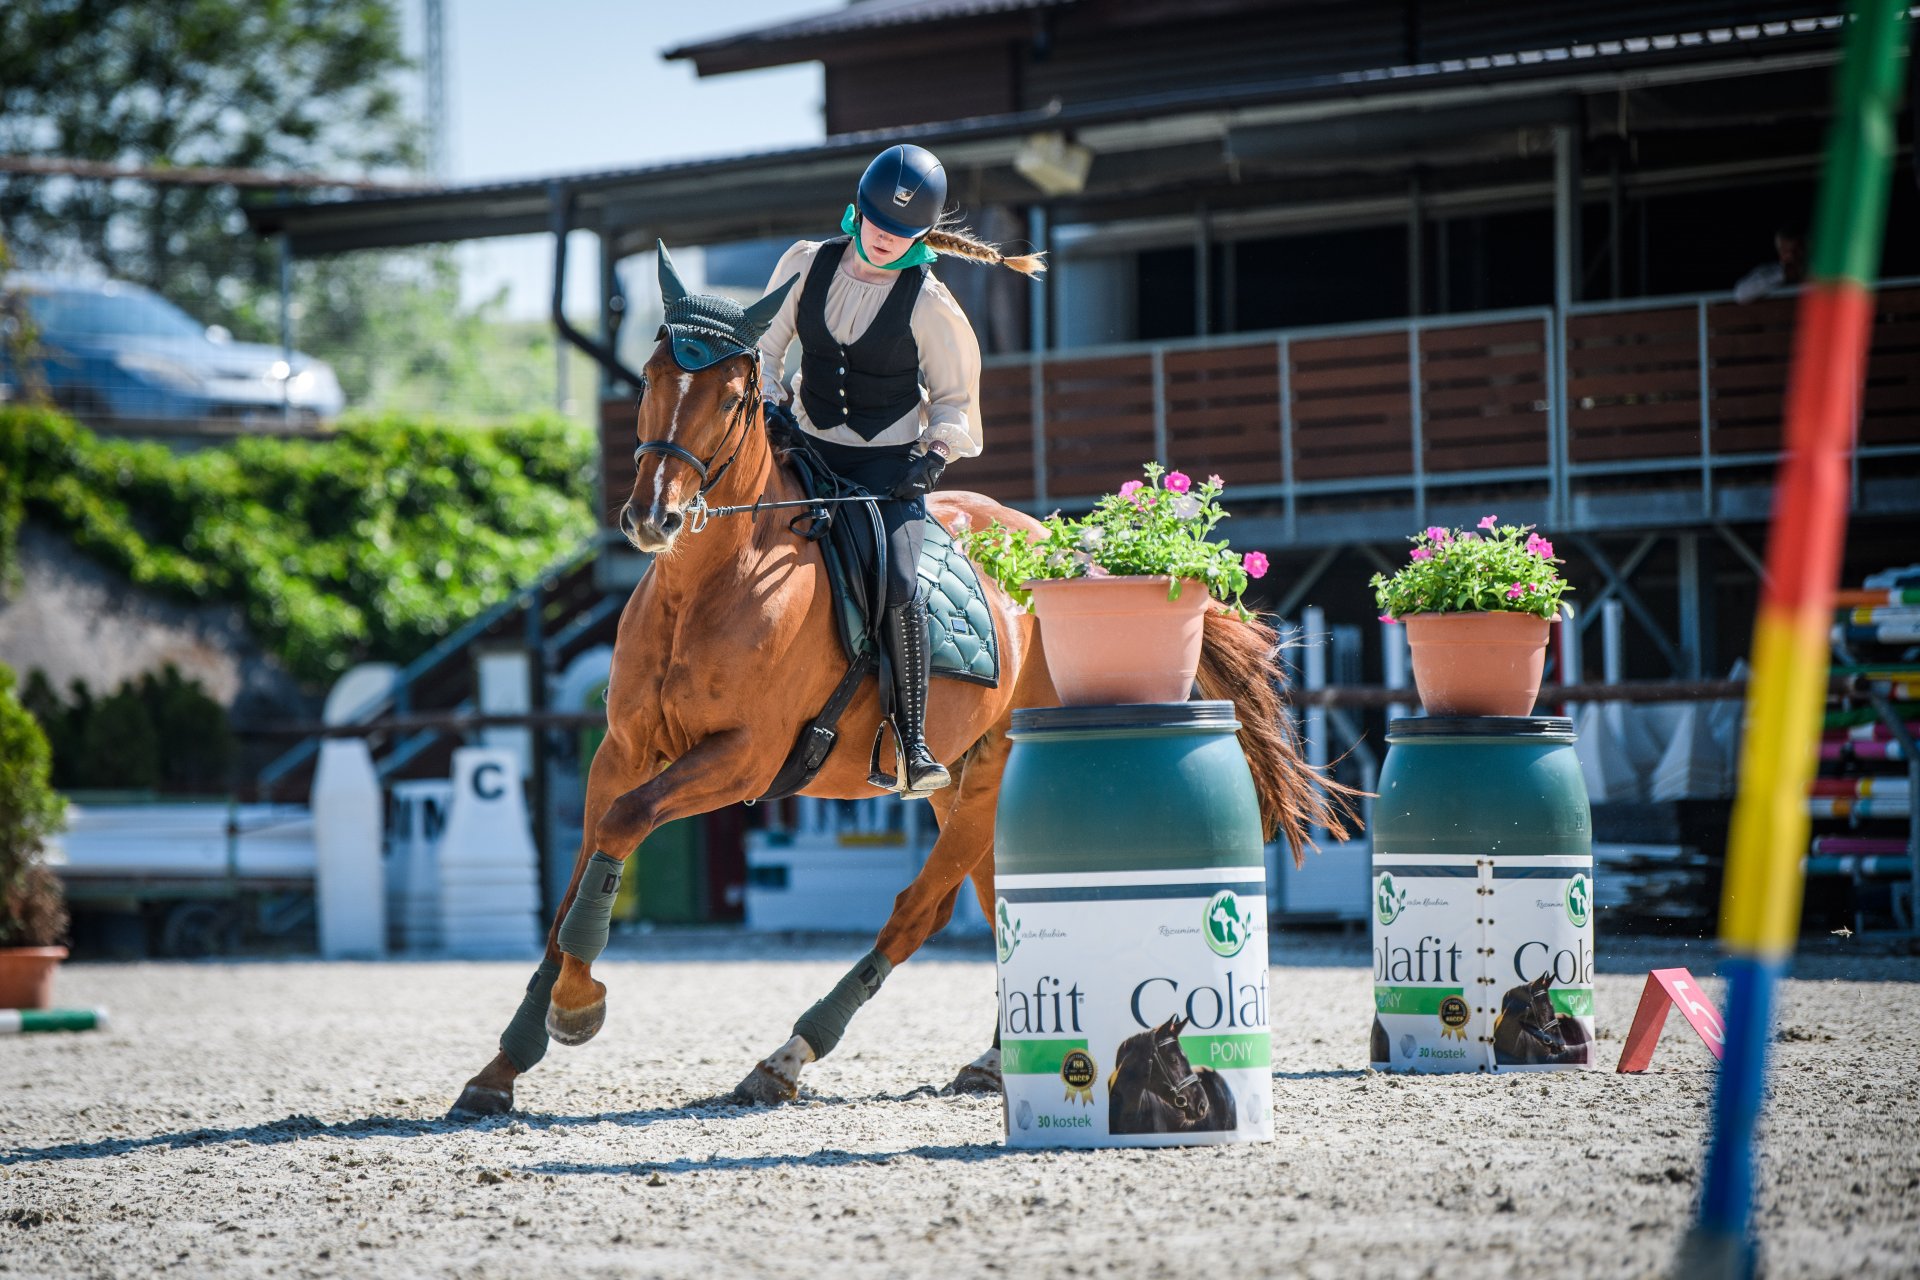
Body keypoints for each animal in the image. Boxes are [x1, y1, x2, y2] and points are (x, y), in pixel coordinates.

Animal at [449, 285, 1351, 1113]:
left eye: (733, 399)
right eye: (650, 377)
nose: (653, 518)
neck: (707, 585)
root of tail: (1065, 556)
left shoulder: (743, 758)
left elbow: (625, 825)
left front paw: (575, 1009)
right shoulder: (624, 751)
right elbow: (583, 866)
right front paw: (506, 1062)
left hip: (987, 780)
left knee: (920, 910)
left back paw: (788, 1059)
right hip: (965, 784)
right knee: (991, 904)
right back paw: (992, 1060)